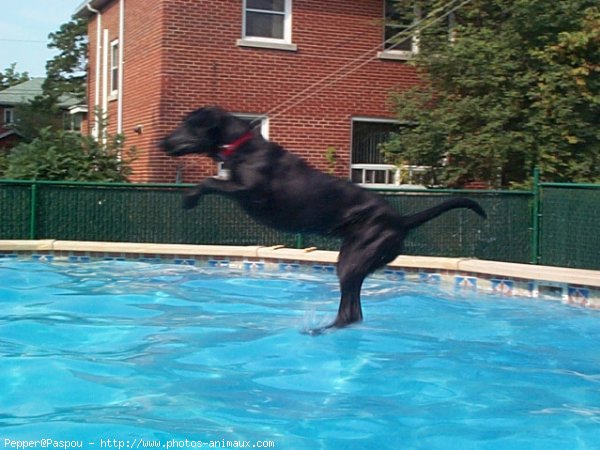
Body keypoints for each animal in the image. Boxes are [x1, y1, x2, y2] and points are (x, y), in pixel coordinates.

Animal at [161, 105, 488, 330]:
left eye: (188, 124)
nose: (161, 142)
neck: (241, 146)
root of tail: (401, 220)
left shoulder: (249, 190)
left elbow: (211, 182)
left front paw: (190, 198)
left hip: (354, 259)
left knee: (351, 310)